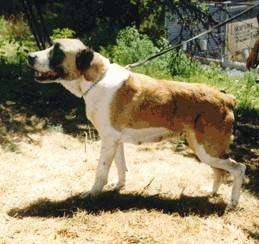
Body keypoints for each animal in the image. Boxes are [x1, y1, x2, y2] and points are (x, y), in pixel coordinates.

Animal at [28, 38, 246, 210]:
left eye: (57, 51)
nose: (30, 56)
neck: (97, 79)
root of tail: (228, 98)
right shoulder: (115, 141)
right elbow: (120, 166)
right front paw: (119, 187)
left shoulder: (108, 140)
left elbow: (101, 172)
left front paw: (92, 195)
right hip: (205, 150)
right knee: (220, 173)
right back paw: (211, 192)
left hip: (208, 151)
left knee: (238, 169)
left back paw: (232, 204)